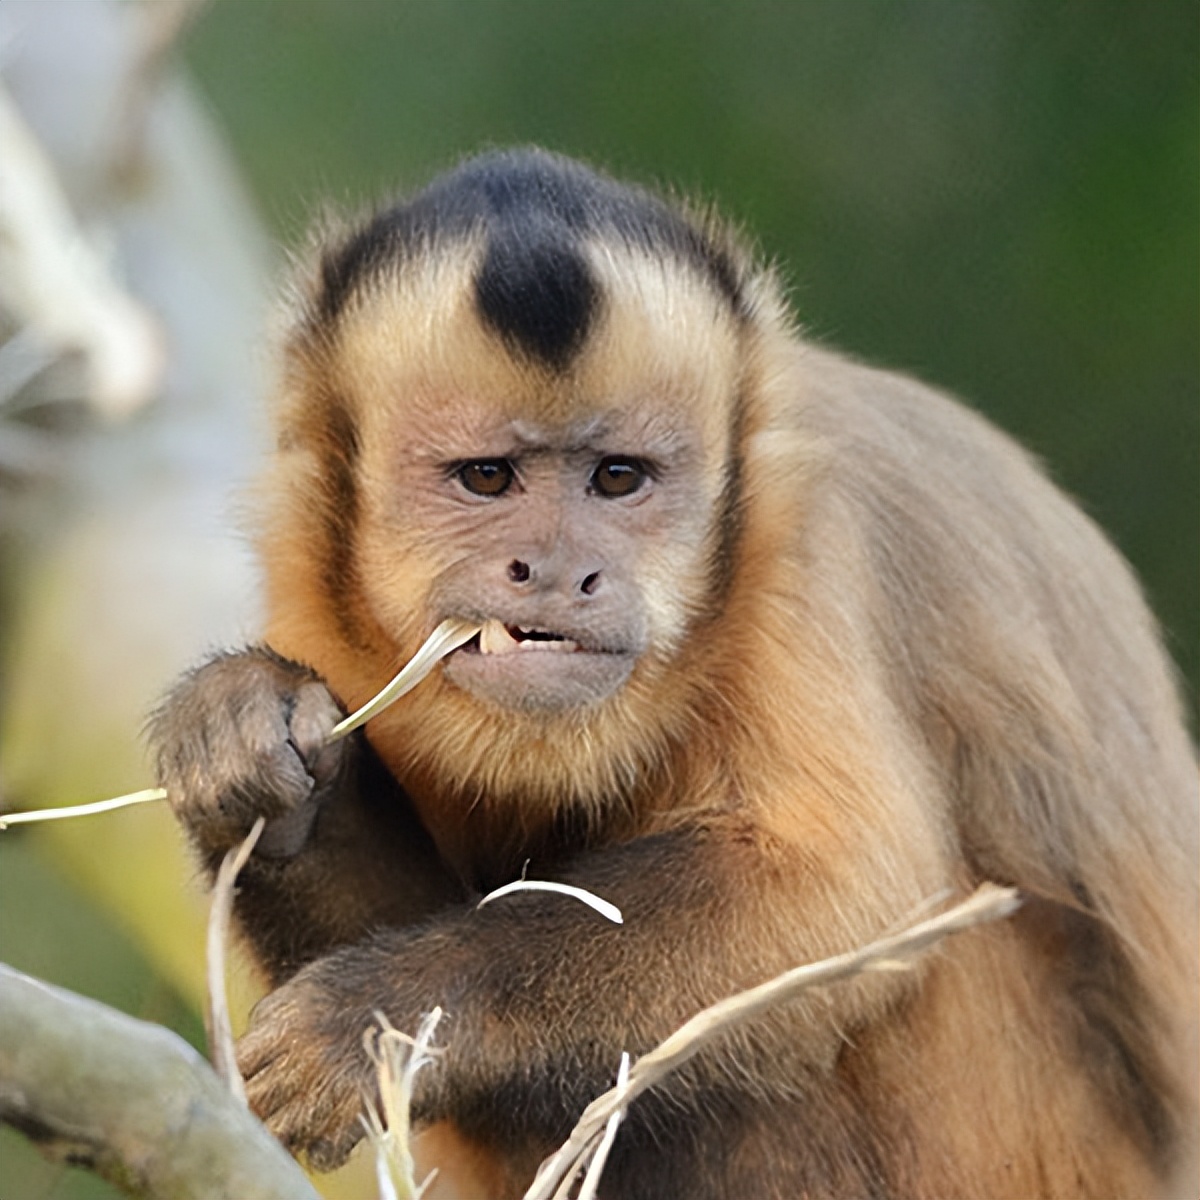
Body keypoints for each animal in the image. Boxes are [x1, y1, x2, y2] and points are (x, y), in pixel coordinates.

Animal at [154, 150, 1195, 1200]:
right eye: (487, 477)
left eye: (618, 478)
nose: (560, 570)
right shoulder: (310, 589)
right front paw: (255, 747)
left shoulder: (802, 544)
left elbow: (845, 890)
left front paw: (383, 1009)